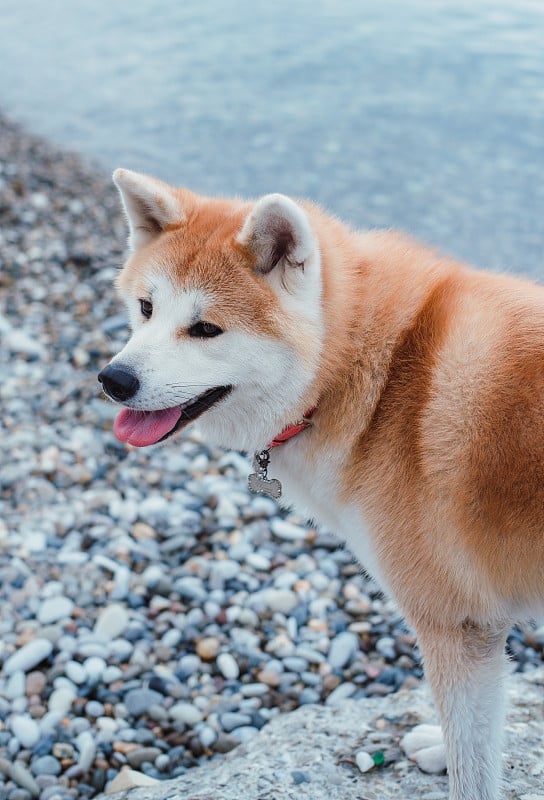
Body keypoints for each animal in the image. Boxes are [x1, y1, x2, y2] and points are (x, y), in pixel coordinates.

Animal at [99, 169, 544, 800]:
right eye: (145, 308)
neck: (378, 373)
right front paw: (441, 746)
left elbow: (472, 765)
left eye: (206, 329)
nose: (113, 379)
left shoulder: (459, 626)